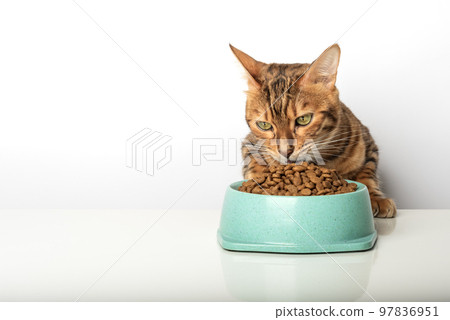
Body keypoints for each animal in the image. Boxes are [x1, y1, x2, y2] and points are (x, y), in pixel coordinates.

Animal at [232, 43, 398, 219]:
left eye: (304, 119)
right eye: (264, 125)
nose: (285, 151)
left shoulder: (368, 144)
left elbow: (367, 173)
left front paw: (375, 198)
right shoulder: (249, 144)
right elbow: (254, 164)